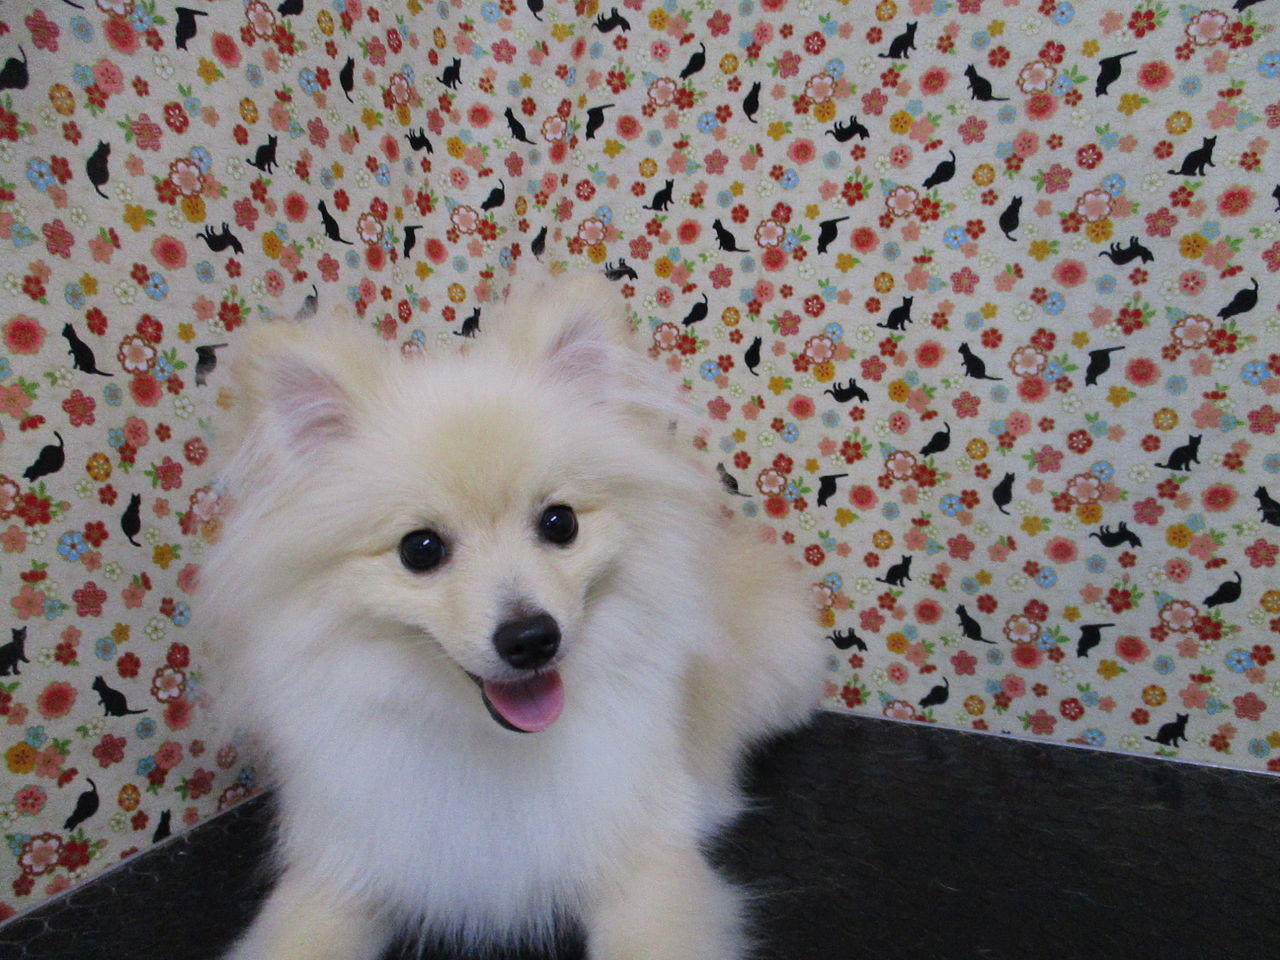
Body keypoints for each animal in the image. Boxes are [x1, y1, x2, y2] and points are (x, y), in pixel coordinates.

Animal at [207, 273, 820, 960]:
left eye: (560, 522)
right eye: (420, 549)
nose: (531, 637)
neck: (491, 744)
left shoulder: (645, 854)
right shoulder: (345, 866)